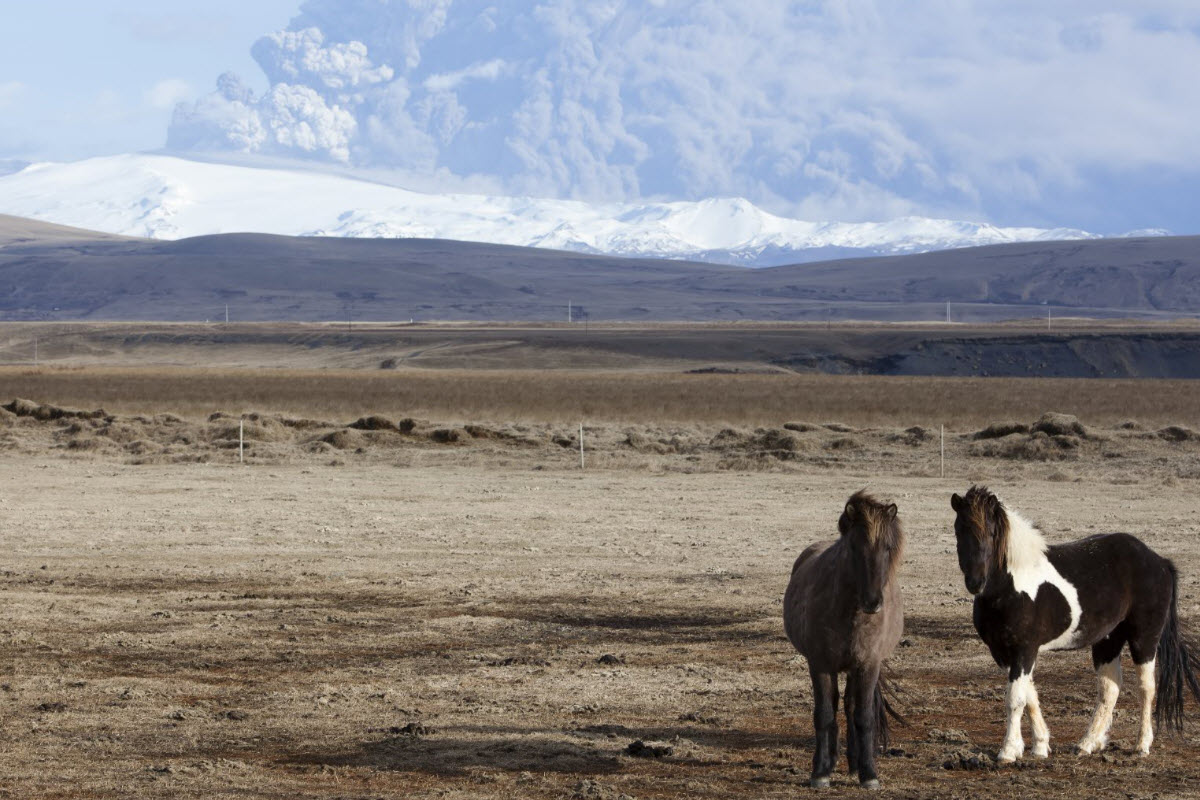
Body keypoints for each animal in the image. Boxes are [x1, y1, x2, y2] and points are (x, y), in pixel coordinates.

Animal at [782, 491, 902, 791]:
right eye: (855, 548)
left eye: (887, 547)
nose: (873, 602)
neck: (851, 614)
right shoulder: (820, 665)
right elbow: (824, 714)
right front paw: (820, 772)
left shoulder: (868, 665)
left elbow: (864, 717)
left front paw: (868, 773)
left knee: (850, 706)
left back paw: (854, 761)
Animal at [950, 484, 1195, 762]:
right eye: (959, 529)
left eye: (992, 532)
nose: (975, 582)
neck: (1012, 585)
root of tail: (1159, 561)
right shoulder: (1003, 653)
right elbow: (1030, 695)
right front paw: (1040, 746)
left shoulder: (1025, 649)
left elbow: (1016, 699)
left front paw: (1009, 750)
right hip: (1108, 640)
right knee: (1110, 688)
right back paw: (1088, 743)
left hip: (1144, 638)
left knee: (1146, 688)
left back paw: (1142, 745)